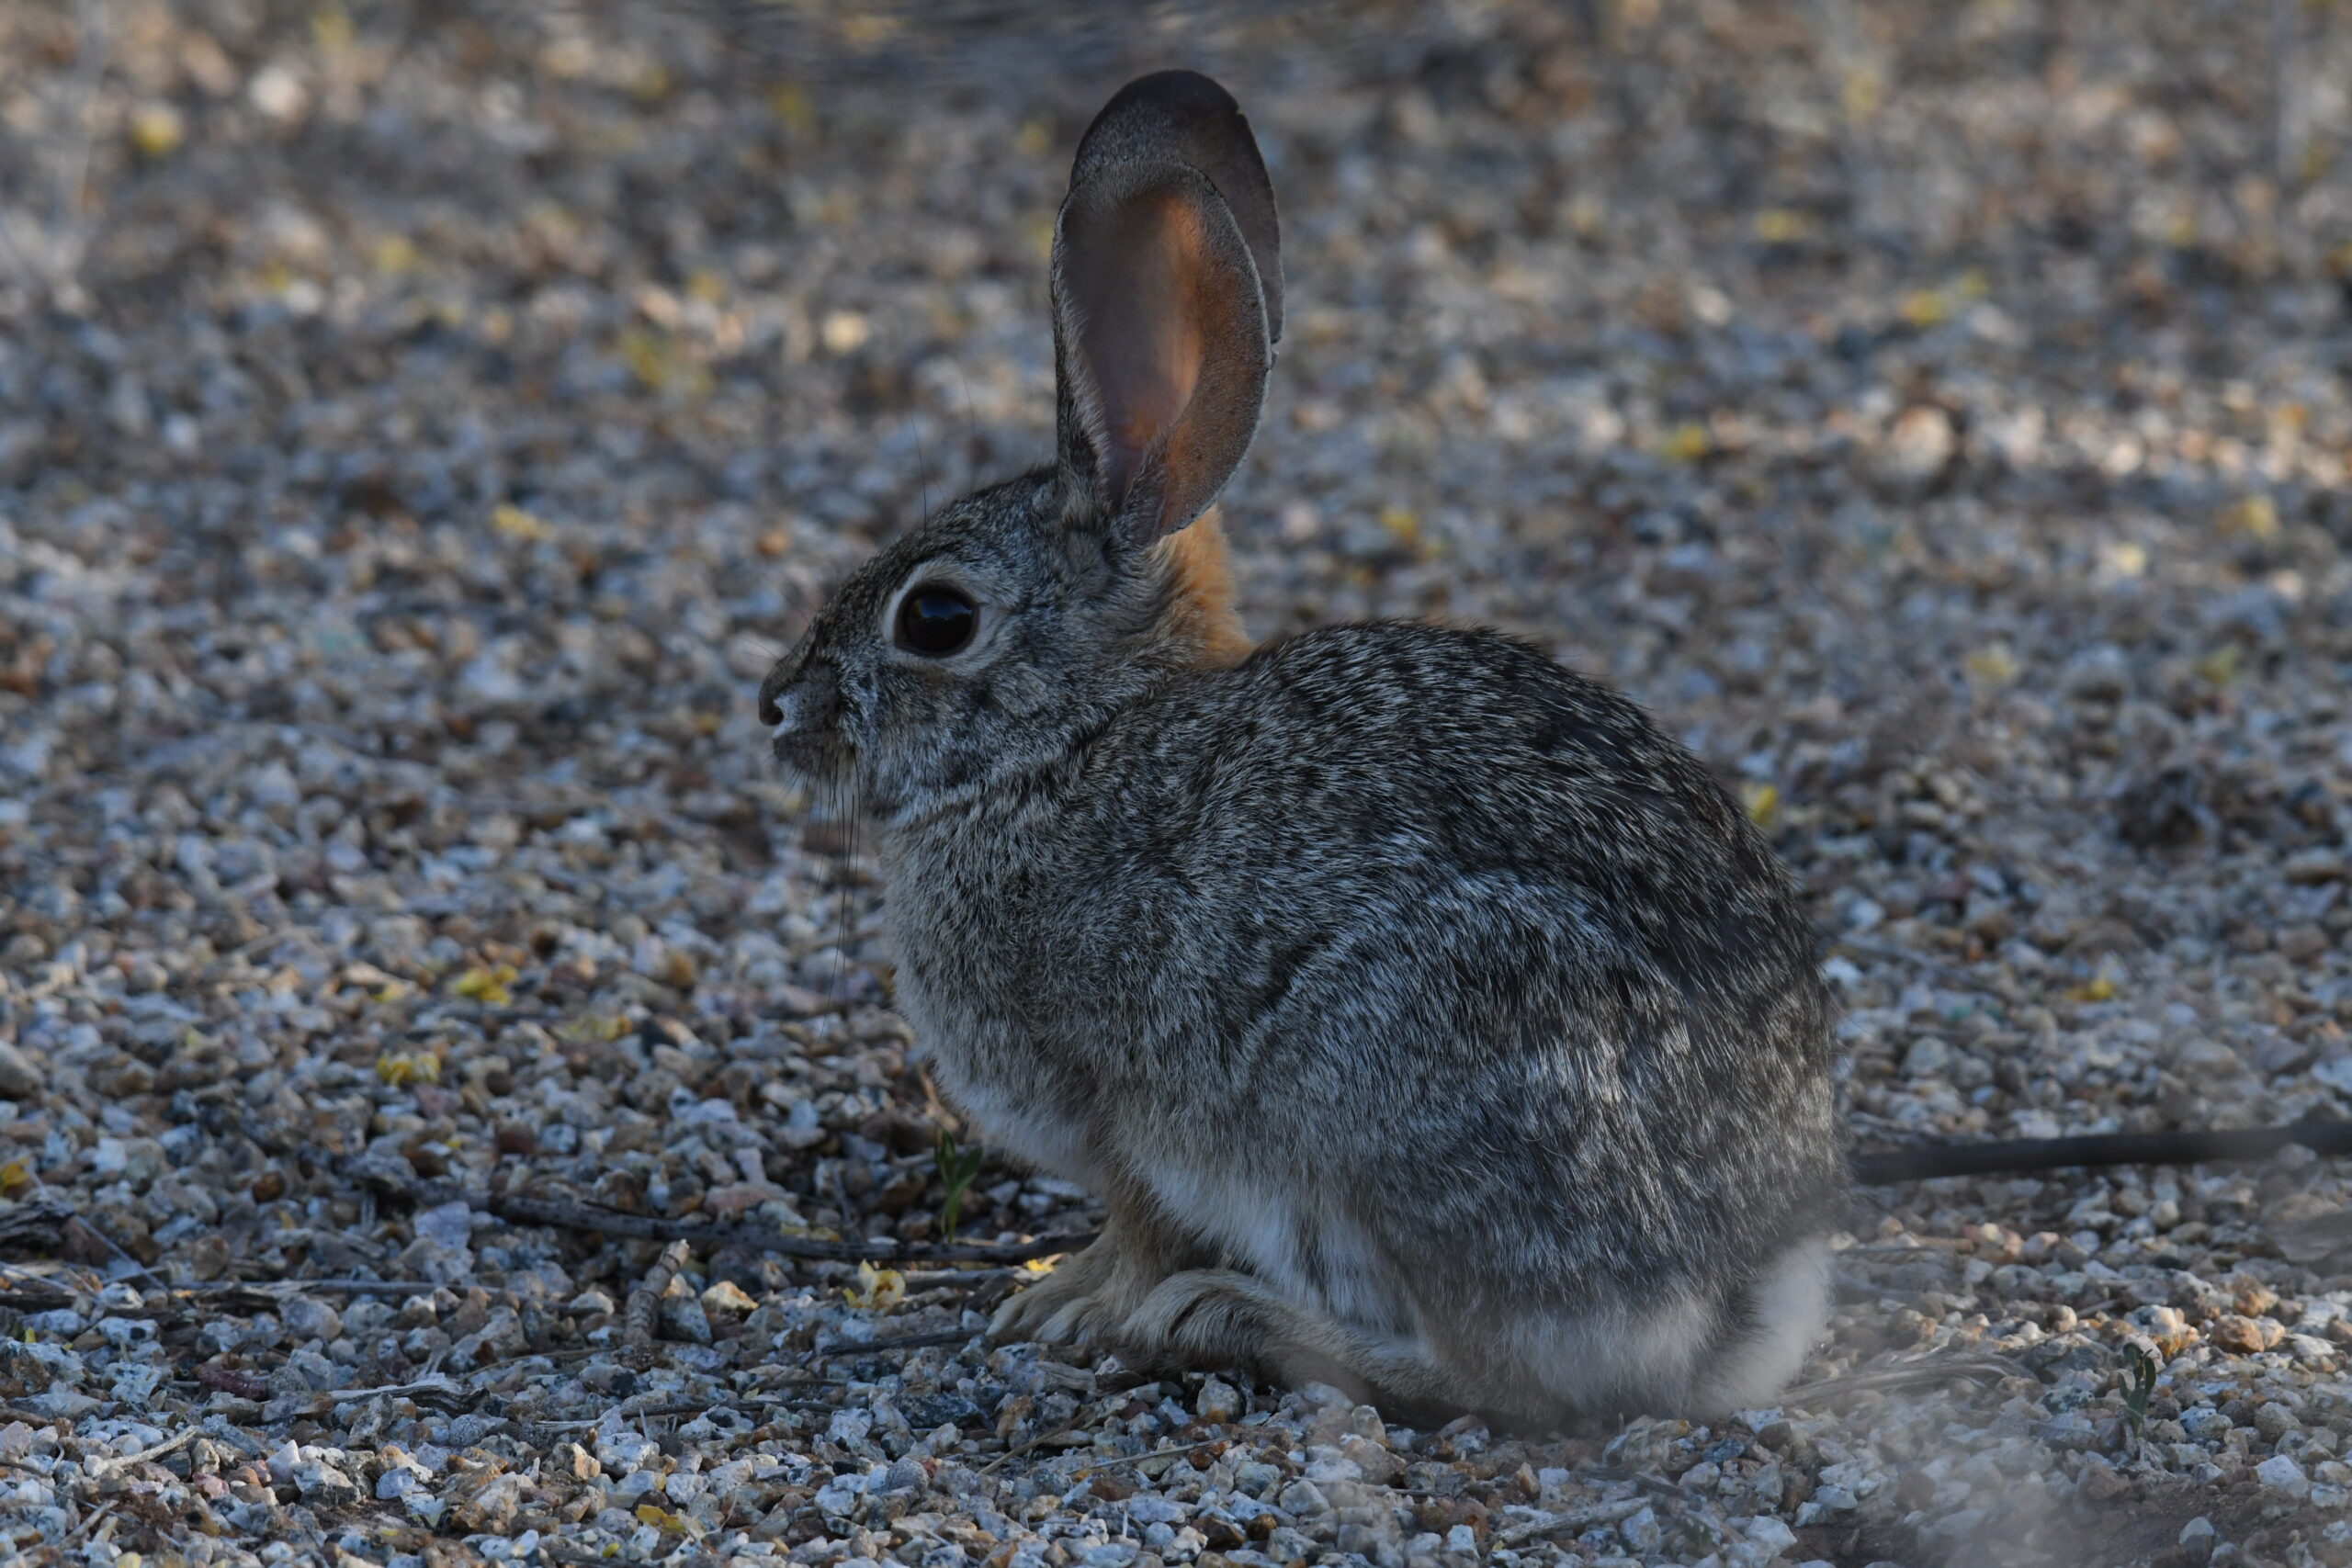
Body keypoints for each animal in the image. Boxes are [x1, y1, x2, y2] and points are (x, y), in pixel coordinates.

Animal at [762, 67, 1844, 1429]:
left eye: (937, 618)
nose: (778, 709)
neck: (1069, 743)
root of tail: (1741, 1297)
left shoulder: (1123, 1110)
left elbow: (1138, 1223)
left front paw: (1068, 1302)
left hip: (1396, 1087)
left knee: (1505, 1374)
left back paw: (1232, 1320)